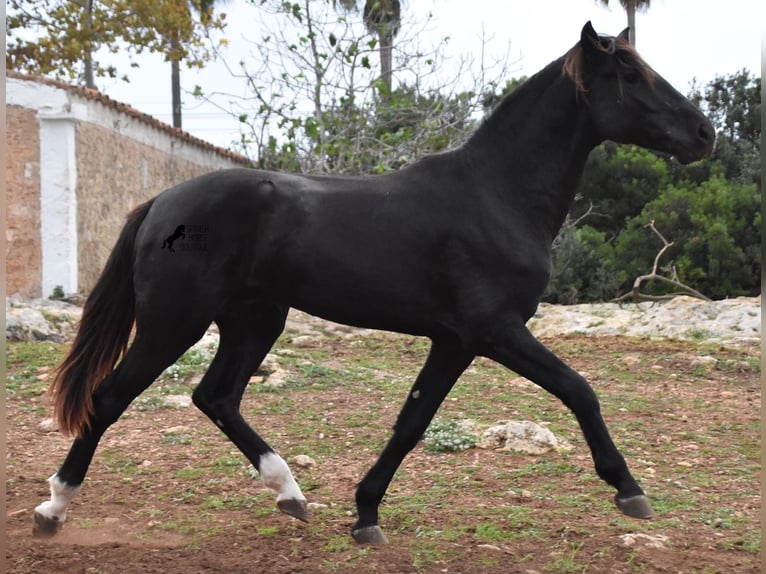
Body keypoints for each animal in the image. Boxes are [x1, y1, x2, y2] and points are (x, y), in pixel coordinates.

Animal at [37, 20, 712, 548]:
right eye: (629, 74)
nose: (703, 134)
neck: (495, 194)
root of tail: (160, 204)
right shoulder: (495, 331)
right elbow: (580, 391)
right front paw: (629, 489)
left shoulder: (455, 342)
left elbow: (411, 422)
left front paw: (365, 514)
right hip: (174, 322)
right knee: (109, 398)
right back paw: (53, 507)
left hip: (254, 320)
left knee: (217, 397)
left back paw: (290, 493)